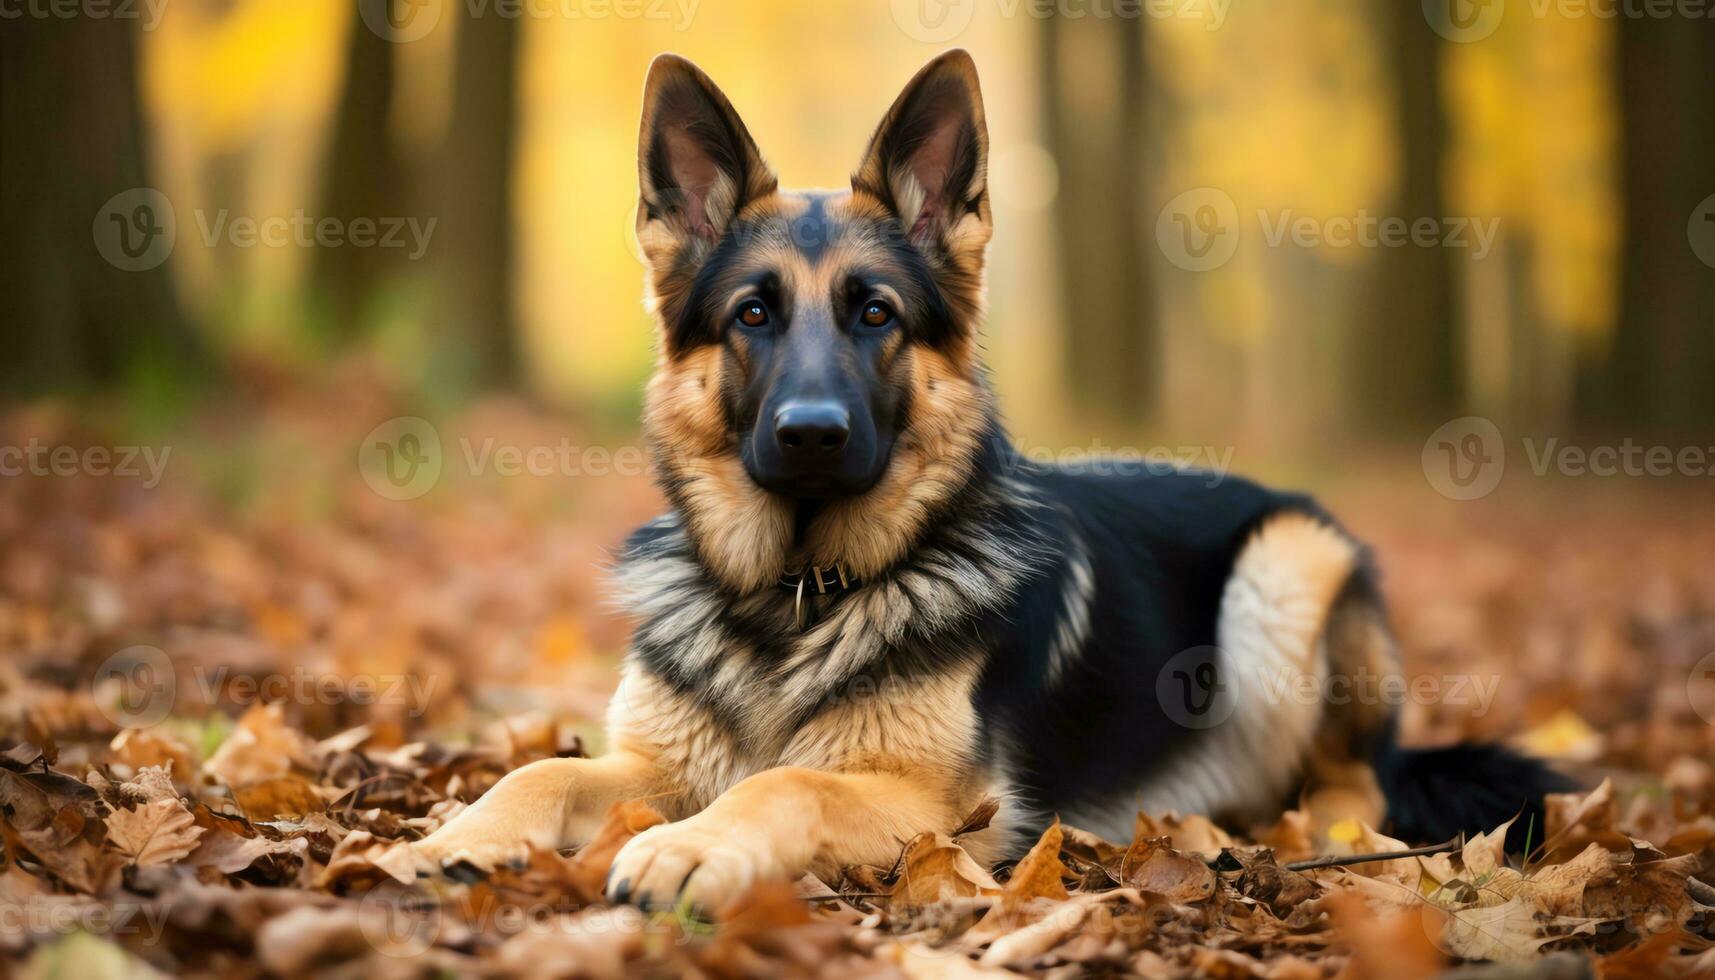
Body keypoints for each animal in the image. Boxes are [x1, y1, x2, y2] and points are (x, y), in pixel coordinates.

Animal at [411, 49, 1570, 906]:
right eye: (752, 313)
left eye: (875, 313)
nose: (811, 434)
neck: (794, 595)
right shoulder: (652, 765)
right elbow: (538, 767)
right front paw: (447, 837)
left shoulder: (936, 804)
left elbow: (785, 779)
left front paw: (692, 848)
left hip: (1287, 566)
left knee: (1351, 779)